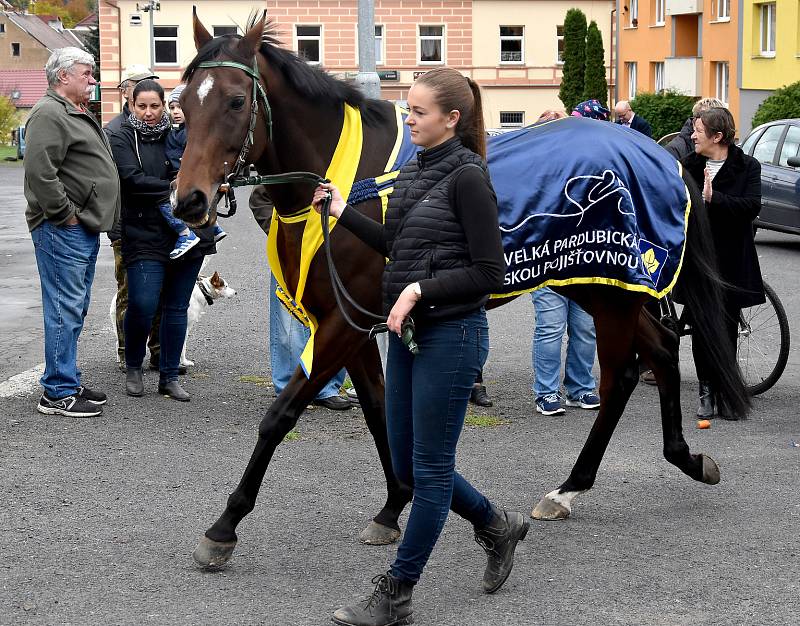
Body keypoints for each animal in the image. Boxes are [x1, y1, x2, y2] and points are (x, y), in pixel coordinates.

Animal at [172, 12, 748, 568]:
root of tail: (660, 153)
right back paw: (678, 458)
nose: (189, 201)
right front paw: (394, 504)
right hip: (596, 287)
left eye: (236, 100)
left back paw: (574, 487)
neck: (352, 184)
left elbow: (280, 417)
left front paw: (224, 527)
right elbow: (381, 413)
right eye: (182, 102)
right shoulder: (353, 322)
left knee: (624, 374)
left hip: (615, 291)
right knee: (661, 349)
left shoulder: (342, 325)